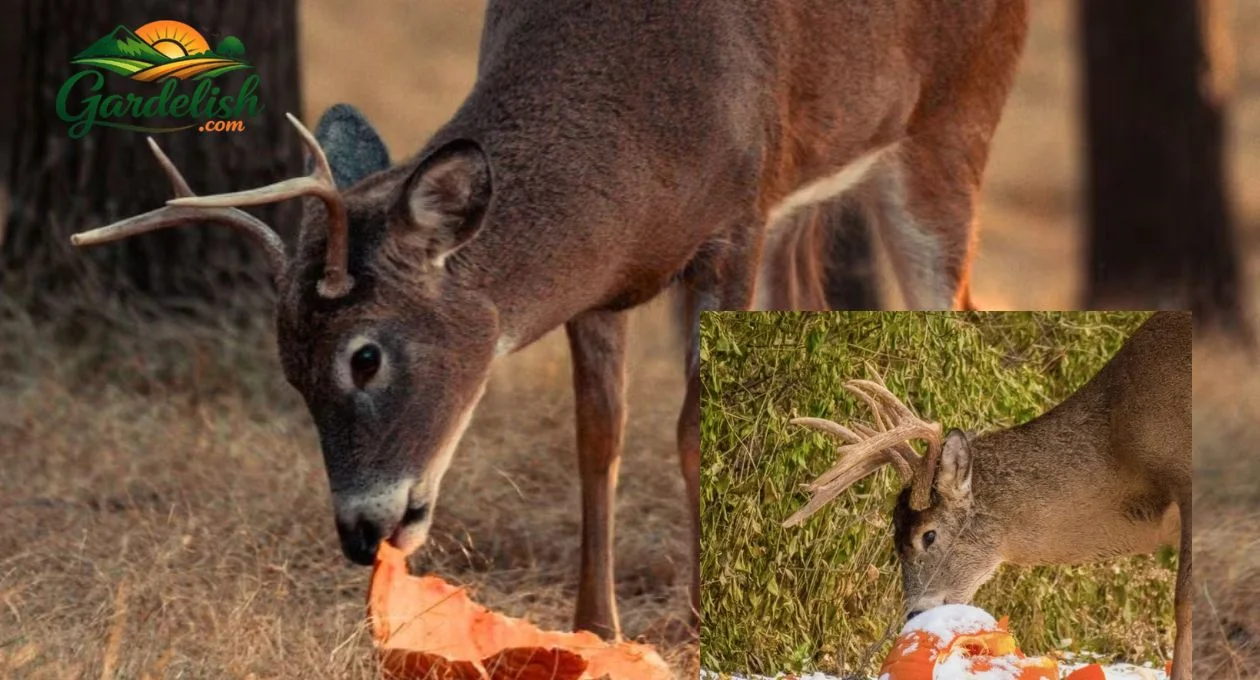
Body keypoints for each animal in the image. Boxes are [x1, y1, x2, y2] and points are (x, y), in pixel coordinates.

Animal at [68, 0, 1029, 641]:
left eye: (364, 357)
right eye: (288, 369)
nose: (360, 532)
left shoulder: (734, 226)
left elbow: (688, 429)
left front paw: (691, 619)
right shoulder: (602, 288)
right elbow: (596, 433)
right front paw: (594, 627)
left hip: (956, 115)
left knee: (956, 295)